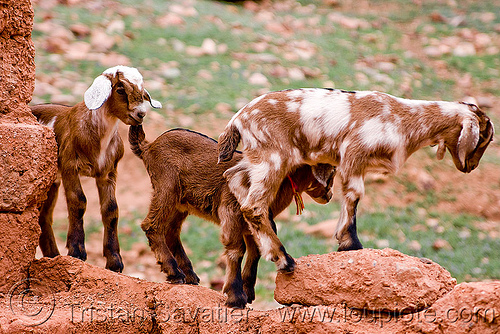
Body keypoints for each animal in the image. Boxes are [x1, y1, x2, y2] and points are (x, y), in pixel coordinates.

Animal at [30, 65, 162, 272]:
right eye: (120, 89)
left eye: (142, 91)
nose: (141, 114)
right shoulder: (69, 167)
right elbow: (78, 201)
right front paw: (77, 251)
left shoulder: (107, 173)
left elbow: (111, 209)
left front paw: (114, 261)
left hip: (52, 181)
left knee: (43, 217)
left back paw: (53, 256)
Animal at [218, 88, 492, 272]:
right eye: (483, 139)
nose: (471, 167)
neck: (403, 119)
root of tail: (238, 119)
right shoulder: (353, 153)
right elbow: (354, 195)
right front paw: (351, 244)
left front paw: (344, 243)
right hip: (273, 159)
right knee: (253, 206)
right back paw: (283, 258)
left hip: (256, 158)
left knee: (234, 177)